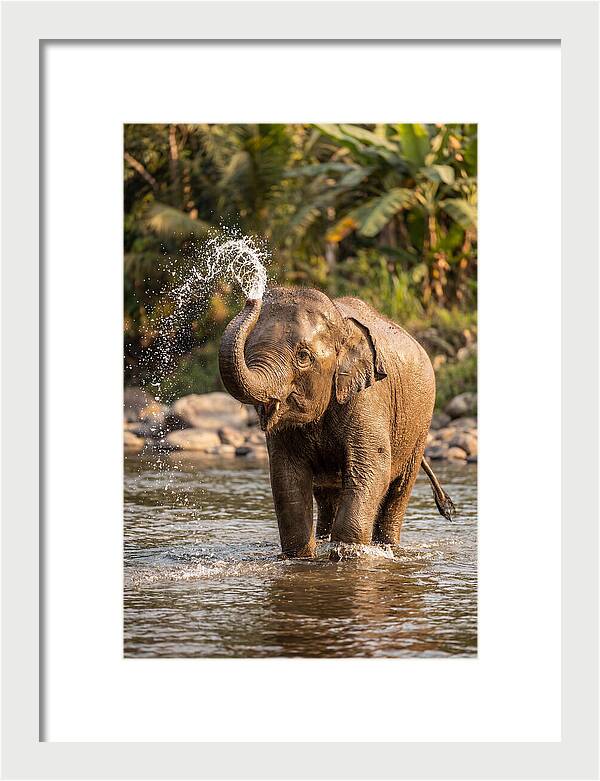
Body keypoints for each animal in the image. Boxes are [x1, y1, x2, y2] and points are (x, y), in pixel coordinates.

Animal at [219, 286, 454, 558]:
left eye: (303, 356)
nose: (251, 298)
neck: (342, 325)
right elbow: (286, 477)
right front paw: (302, 557)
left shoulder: (368, 398)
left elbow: (372, 468)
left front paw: (347, 554)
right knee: (327, 494)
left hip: (420, 425)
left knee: (399, 490)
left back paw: (388, 547)